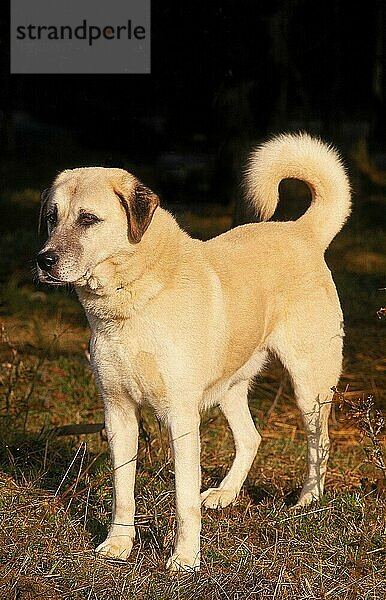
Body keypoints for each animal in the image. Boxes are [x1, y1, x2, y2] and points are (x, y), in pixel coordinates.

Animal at [37, 132, 352, 572]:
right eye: (52, 216)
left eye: (87, 219)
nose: (43, 260)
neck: (133, 300)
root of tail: (300, 232)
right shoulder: (118, 414)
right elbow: (122, 490)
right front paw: (118, 545)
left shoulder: (181, 419)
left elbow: (184, 498)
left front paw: (185, 559)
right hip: (229, 388)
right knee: (252, 437)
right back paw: (225, 494)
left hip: (310, 387)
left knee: (319, 444)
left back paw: (308, 500)